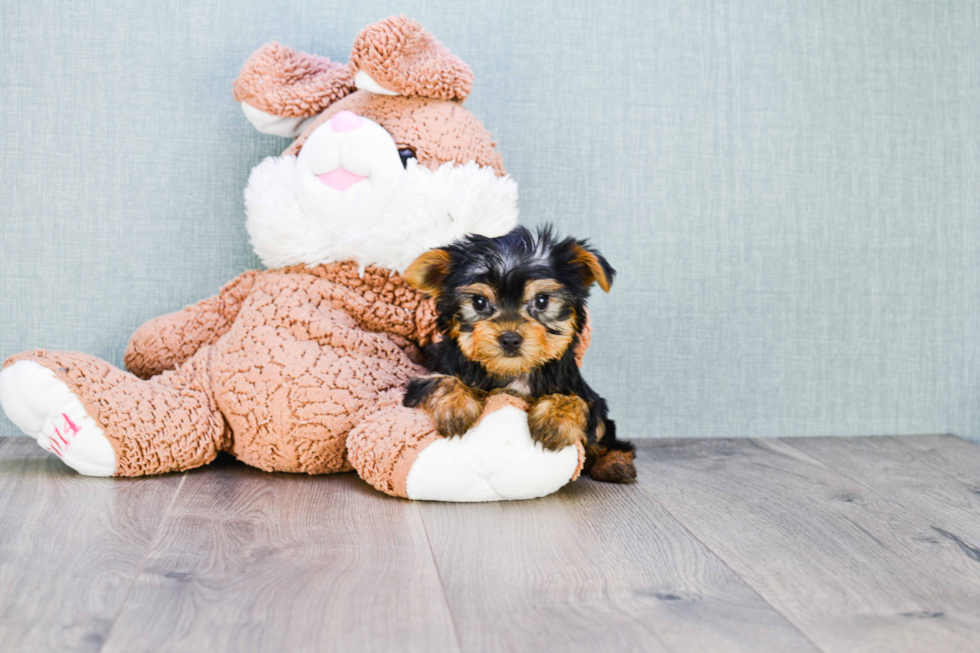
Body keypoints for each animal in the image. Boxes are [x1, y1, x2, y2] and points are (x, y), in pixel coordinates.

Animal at [400, 227, 636, 482]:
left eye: (542, 301)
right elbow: (441, 381)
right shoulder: (425, 377)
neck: (514, 371)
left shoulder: (582, 391)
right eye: (479, 302)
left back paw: (615, 462)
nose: (510, 338)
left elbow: (579, 402)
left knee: (605, 436)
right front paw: (455, 407)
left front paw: (555, 420)